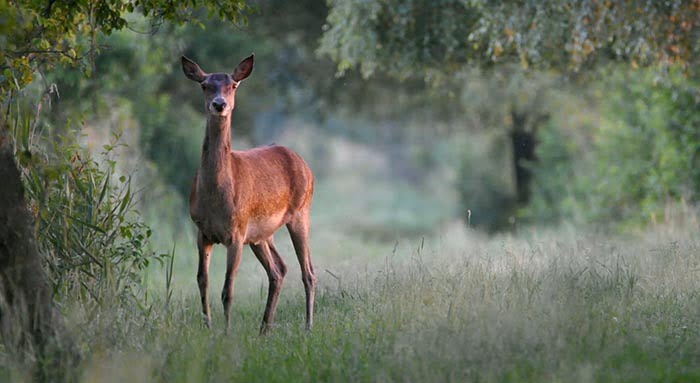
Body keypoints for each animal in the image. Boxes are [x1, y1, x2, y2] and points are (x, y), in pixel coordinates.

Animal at [179, 54, 316, 336]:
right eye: (205, 85)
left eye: (233, 85)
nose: (219, 104)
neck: (216, 197)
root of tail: (305, 165)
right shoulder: (202, 231)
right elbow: (202, 281)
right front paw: (208, 327)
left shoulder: (236, 232)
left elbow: (228, 289)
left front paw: (227, 333)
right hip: (261, 234)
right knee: (279, 269)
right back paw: (264, 329)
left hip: (300, 212)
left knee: (307, 271)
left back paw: (308, 326)